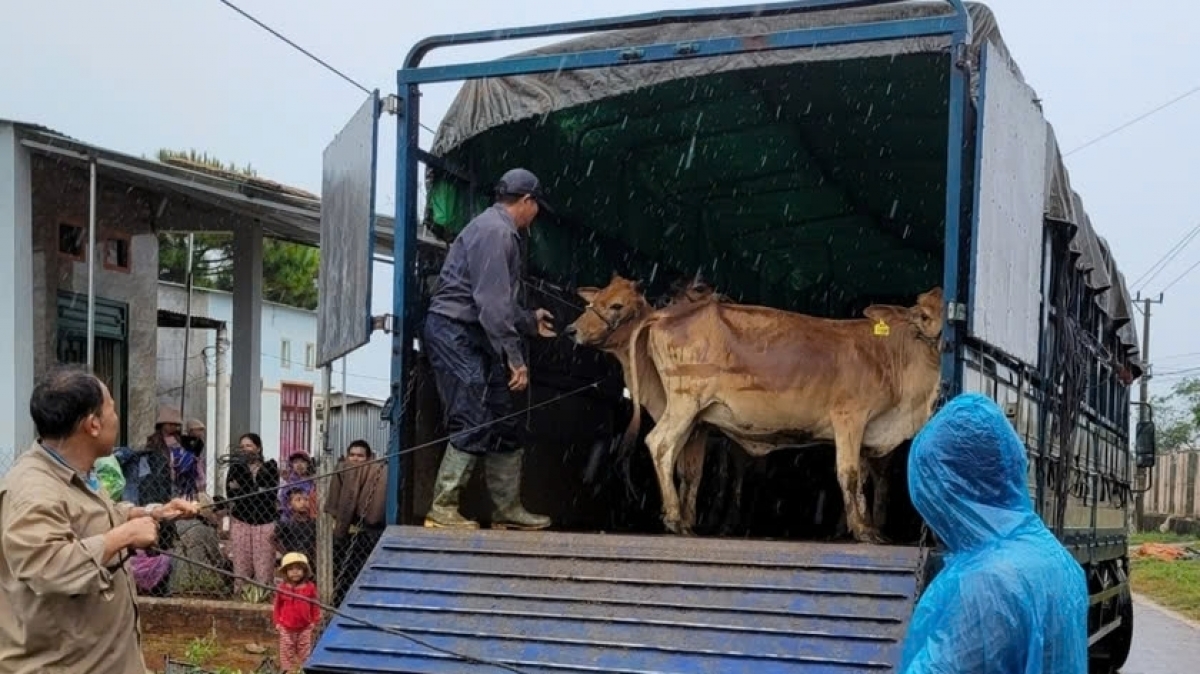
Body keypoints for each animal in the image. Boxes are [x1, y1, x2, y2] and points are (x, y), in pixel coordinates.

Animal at [619, 277, 945, 539]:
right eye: (924, 315)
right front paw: (864, 531)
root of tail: (667, 314)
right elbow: (849, 474)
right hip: (685, 401)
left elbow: (862, 478)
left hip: (692, 414)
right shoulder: (849, 418)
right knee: (660, 444)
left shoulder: (868, 431)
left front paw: (866, 525)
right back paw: (675, 519)